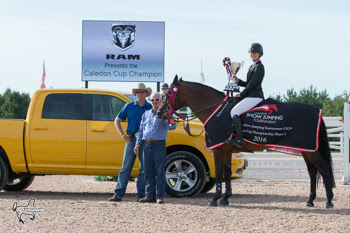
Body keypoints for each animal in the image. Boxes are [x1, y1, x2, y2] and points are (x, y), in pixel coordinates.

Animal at [157, 75, 334, 208]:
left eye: (168, 94)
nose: (159, 112)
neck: (216, 110)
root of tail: (315, 111)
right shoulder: (227, 150)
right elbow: (227, 173)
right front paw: (225, 199)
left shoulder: (218, 149)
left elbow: (219, 173)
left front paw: (215, 199)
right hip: (307, 151)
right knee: (312, 172)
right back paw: (310, 201)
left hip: (311, 151)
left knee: (323, 169)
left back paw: (329, 202)